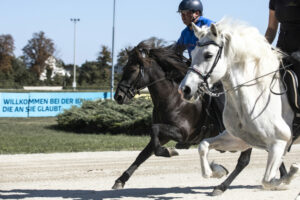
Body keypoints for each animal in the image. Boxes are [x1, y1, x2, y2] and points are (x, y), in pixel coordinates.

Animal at [113, 38, 284, 195]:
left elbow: (154, 130)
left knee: (244, 161)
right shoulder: (164, 136)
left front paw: (169, 152)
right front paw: (121, 180)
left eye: (132, 70)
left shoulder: (183, 134)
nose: (118, 96)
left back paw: (221, 186)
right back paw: (280, 179)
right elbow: (144, 153)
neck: (173, 98)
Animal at [179, 18, 298, 191]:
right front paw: (217, 171)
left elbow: (267, 180)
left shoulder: (279, 141)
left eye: (208, 55)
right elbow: (203, 145)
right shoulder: (240, 139)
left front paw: (289, 176)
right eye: (192, 54)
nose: (185, 89)